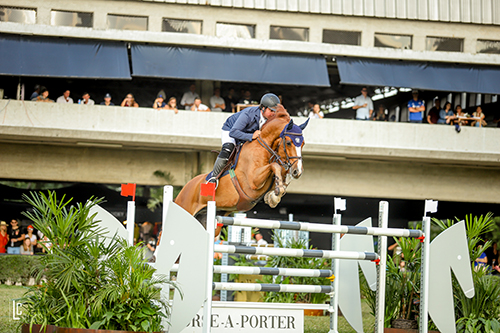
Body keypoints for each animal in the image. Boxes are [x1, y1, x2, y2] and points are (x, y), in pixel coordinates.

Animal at [176, 105, 308, 224]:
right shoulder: (253, 181)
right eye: (289, 143)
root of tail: (186, 187)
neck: (264, 147)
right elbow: (274, 166)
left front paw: (274, 195)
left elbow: (280, 170)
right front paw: (276, 194)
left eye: (303, 144)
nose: (298, 171)